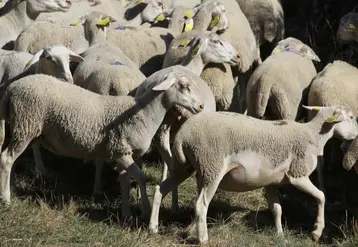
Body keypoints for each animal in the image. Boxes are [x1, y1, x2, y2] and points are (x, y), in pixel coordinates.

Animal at [0, 66, 204, 222]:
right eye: (184, 86)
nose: (201, 107)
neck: (145, 113)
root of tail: (11, 89)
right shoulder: (120, 150)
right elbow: (141, 178)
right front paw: (145, 211)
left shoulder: (126, 154)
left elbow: (125, 180)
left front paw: (127, 214)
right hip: (25, 123)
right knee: (6, 159)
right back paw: (6, 199)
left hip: (25, 130)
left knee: (12, 160)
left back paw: (11, 189)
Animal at [136, 30, 239, 212]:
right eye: (216, 41)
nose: (237, 56)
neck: (190, 67)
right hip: (189, 120)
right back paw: (175, 203)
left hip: (152, 125)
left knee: (160, 158)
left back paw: (143, 200)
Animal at [148, 104, 358, 243]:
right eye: (350, 117)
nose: (356, 135)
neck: (313, 136)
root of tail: (182, 136)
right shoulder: (298, 175)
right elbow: (321, 197)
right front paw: (316, 232)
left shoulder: (271, 182)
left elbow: (277, 208)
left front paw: (280, 235)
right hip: (212, 166)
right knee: (201, 204)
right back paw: (203, 238)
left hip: (187, 166)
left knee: (160, 190)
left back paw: (154, 228)